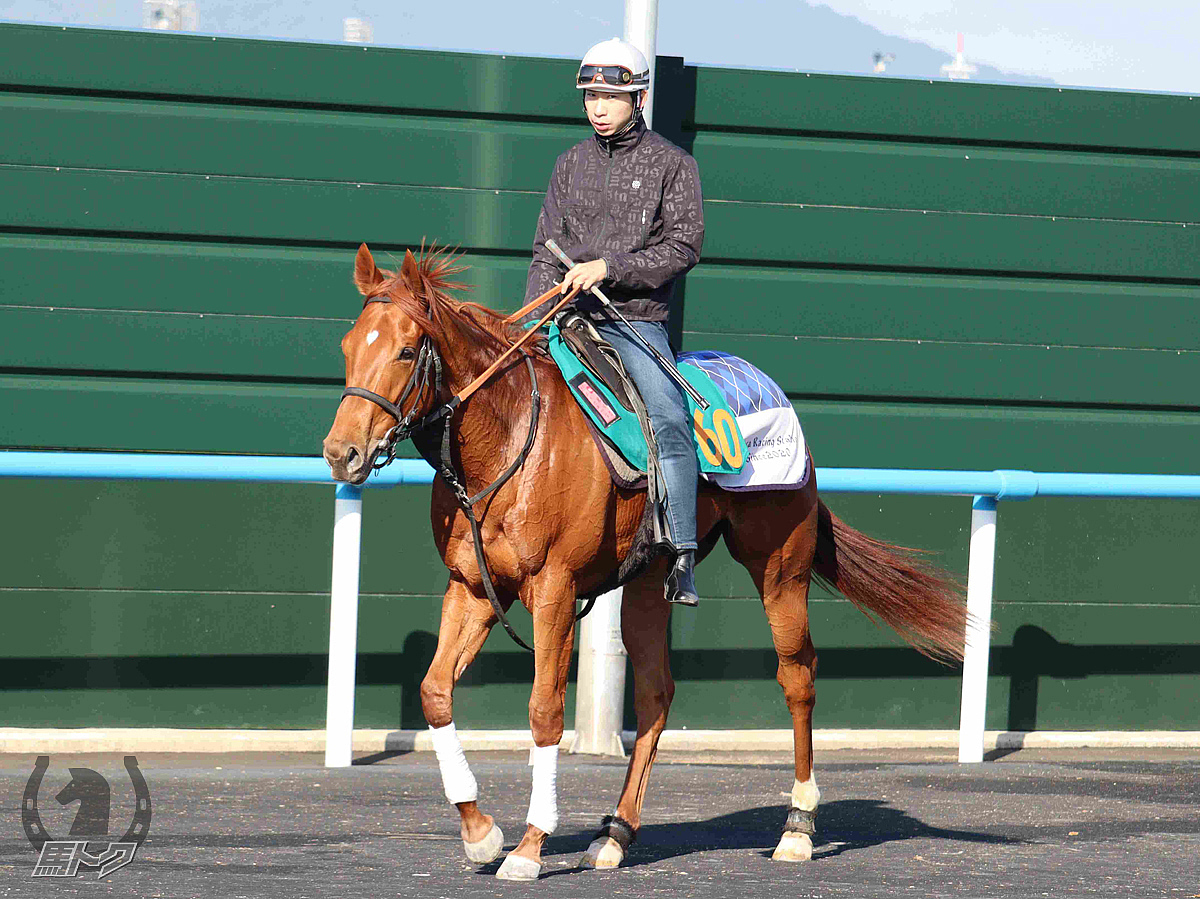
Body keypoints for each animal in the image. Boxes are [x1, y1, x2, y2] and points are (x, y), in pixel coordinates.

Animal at [324, 242, 969, 878]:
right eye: (349, 347)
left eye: (406, 350)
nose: (341, 452)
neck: (507, 439)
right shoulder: (475, 585)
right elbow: (435, 691)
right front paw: (481, 833)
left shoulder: (554, 589)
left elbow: (544, 711)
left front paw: (530, 846)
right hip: (648, 582)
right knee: (656, 692)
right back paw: (616, 834)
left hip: (779, 567)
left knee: (798, 676)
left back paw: (798, 827)